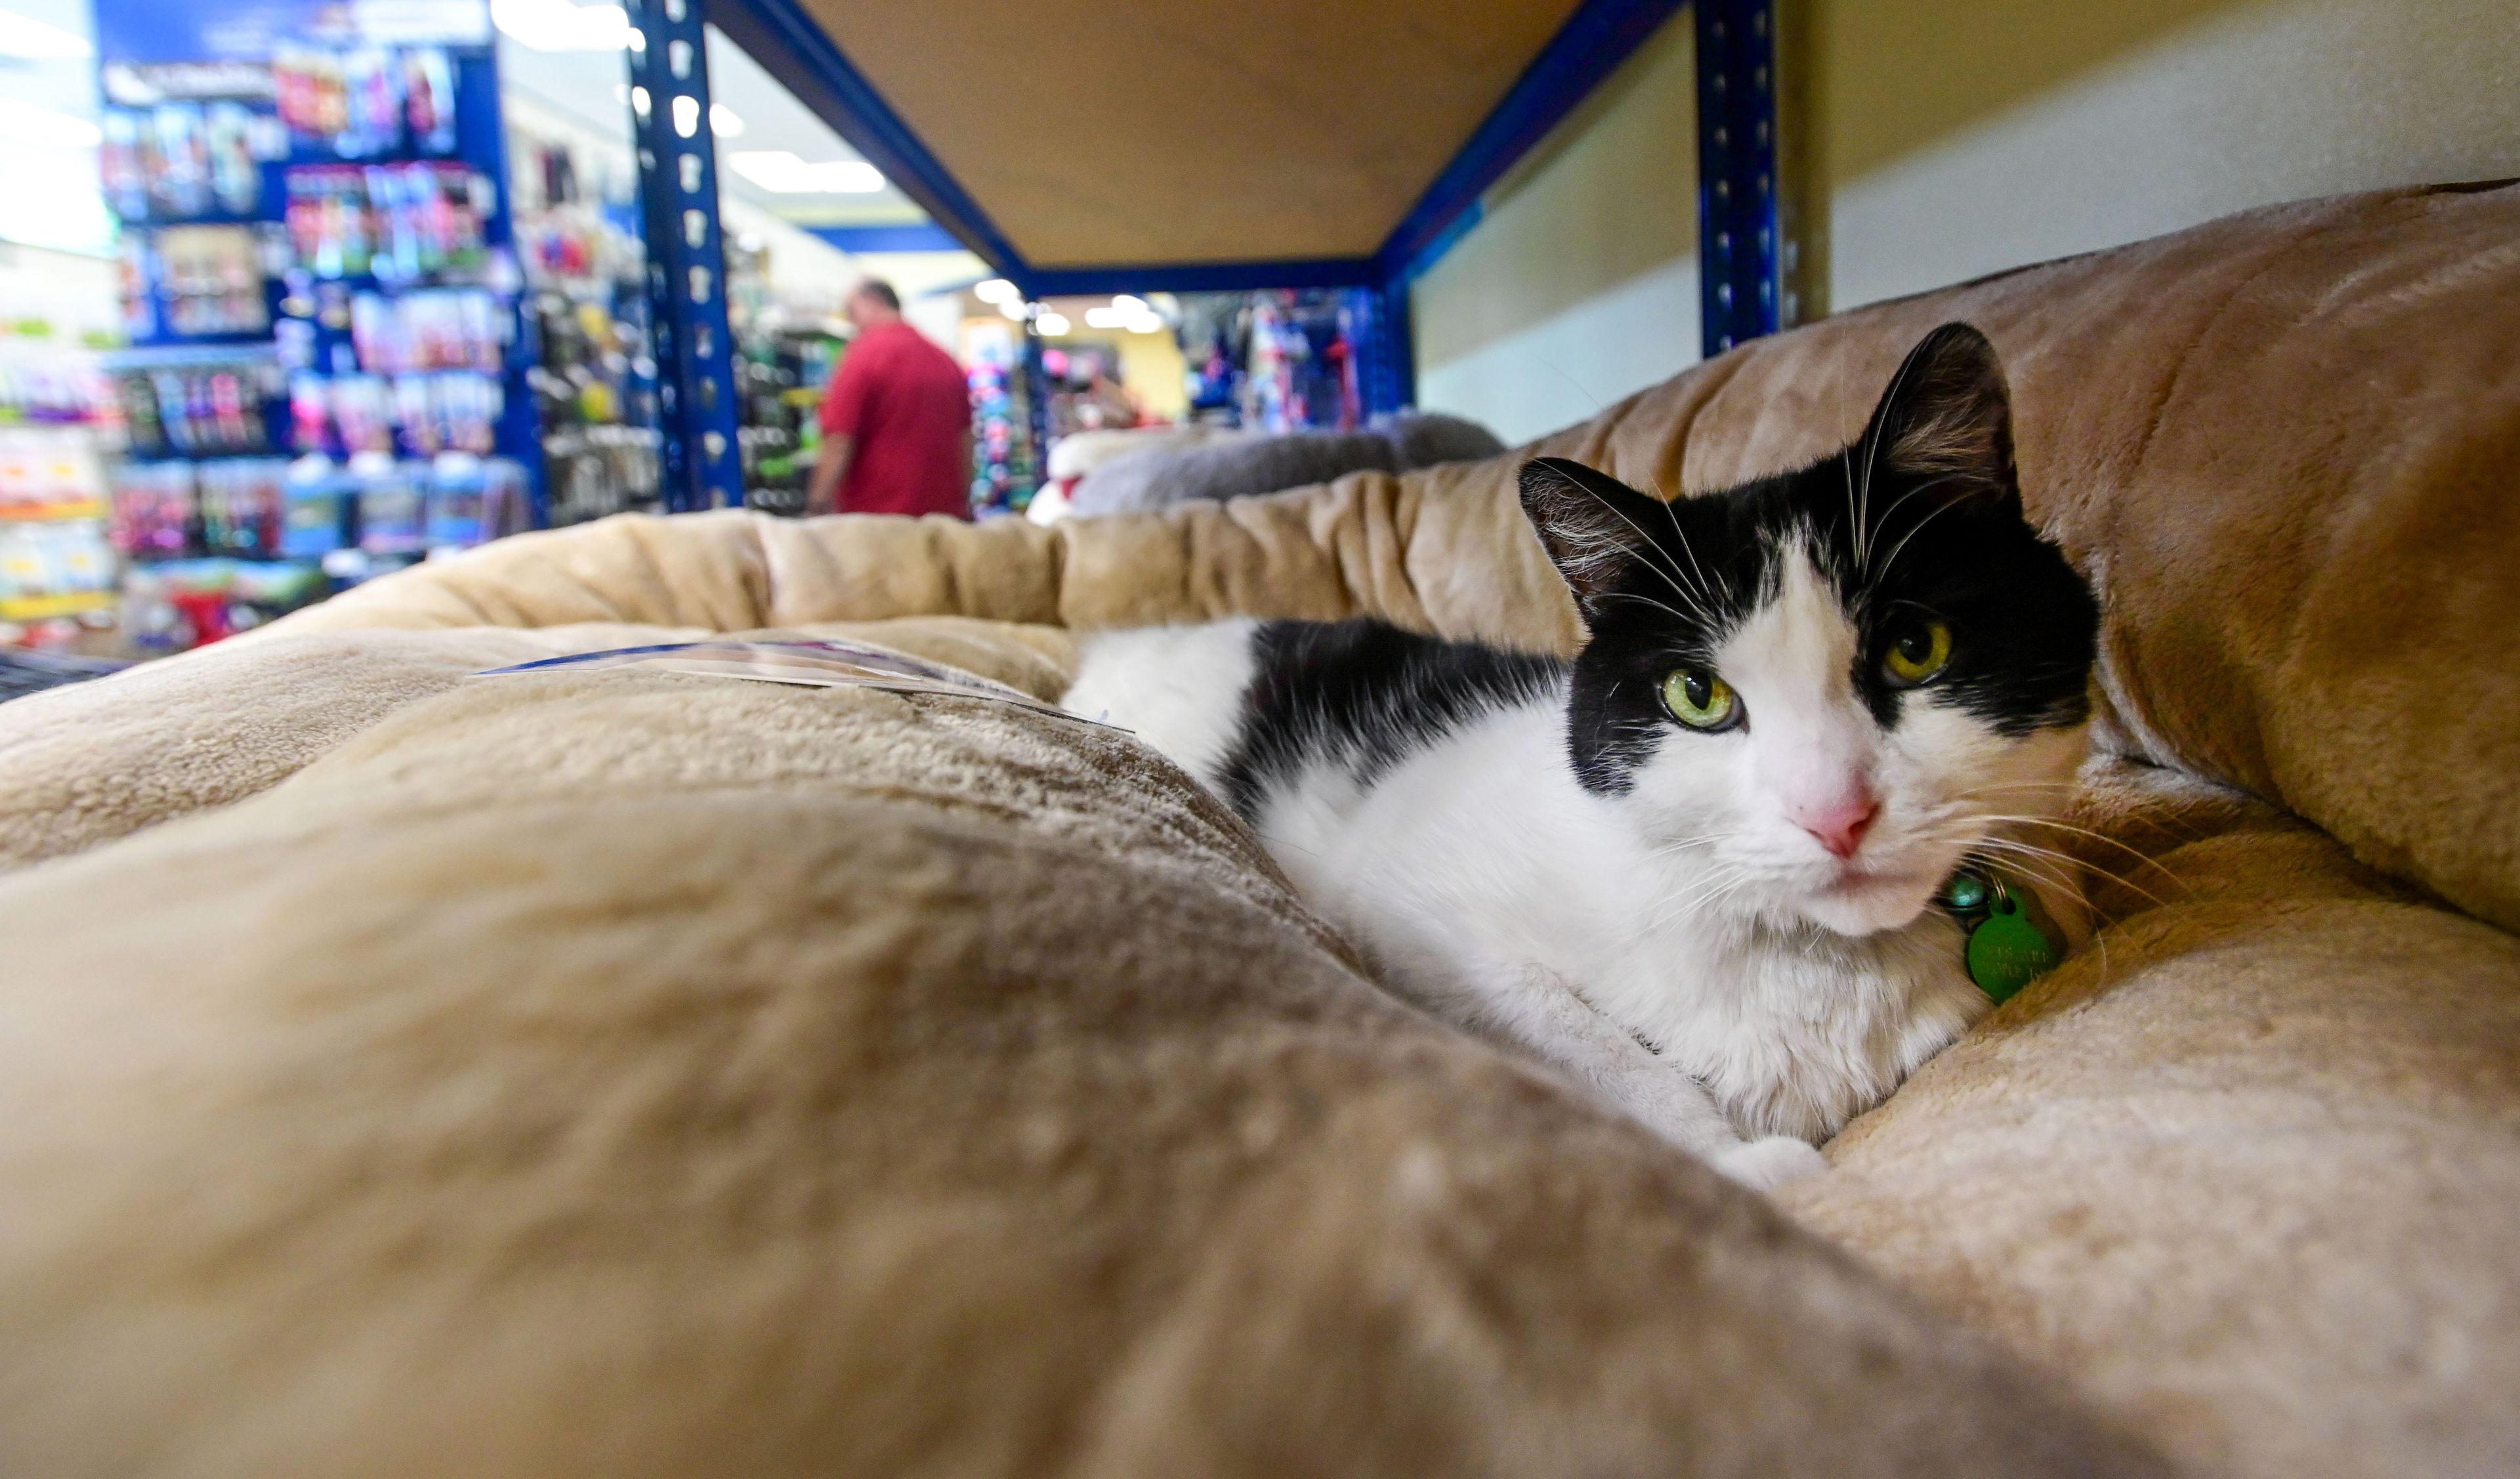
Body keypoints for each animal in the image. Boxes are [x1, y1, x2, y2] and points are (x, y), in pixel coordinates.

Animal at [1063, 327, 2107, 1194]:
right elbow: (1598, 1048)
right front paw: (1746, 1165)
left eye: (1915, 650)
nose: (1833, 812)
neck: (1812, 962)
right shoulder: (1416, 920)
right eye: (1699, 696)